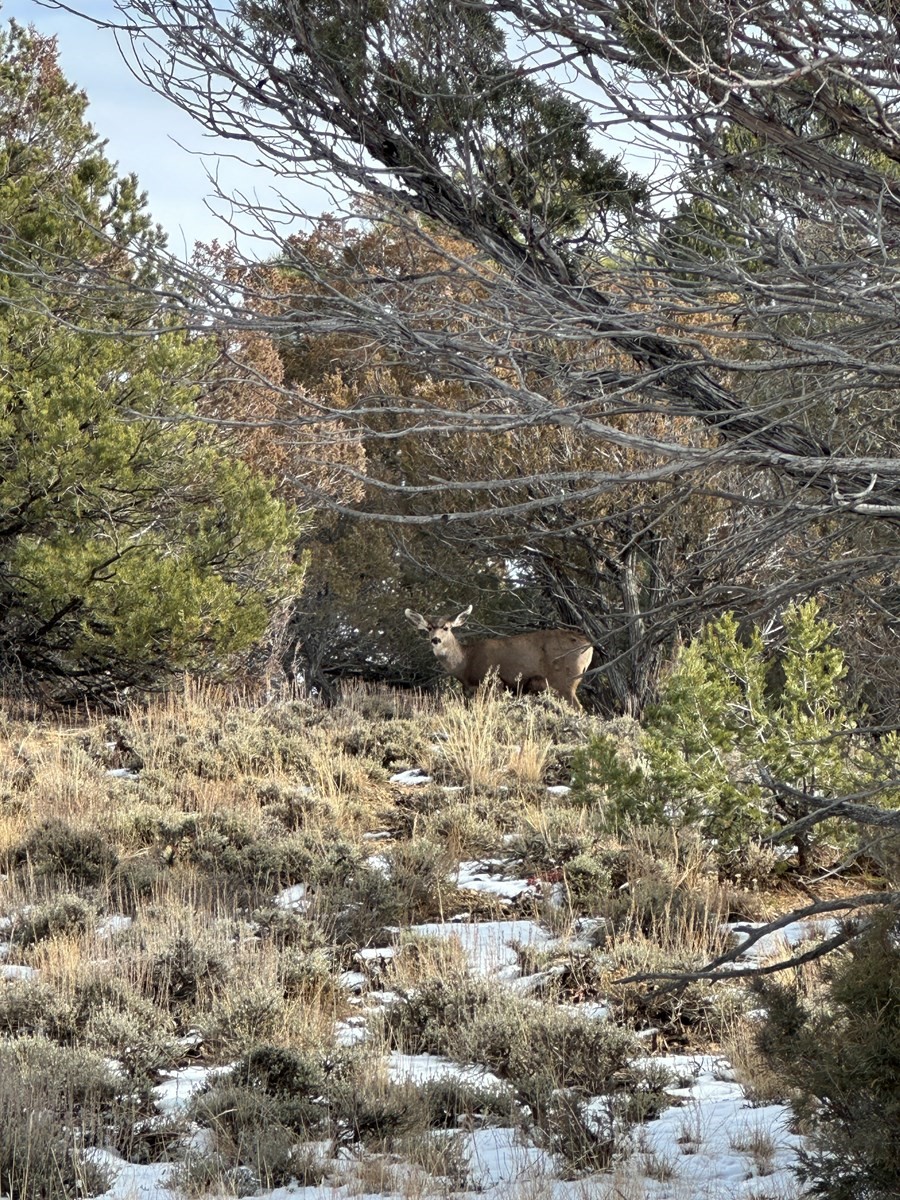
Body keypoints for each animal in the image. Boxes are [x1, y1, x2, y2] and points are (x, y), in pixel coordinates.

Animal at [404, 604, 593, 708]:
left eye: (446, 627)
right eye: (428, 628)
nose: (435, 640)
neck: (466, 662)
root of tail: (589, 645)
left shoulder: (494, 683)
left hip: (566, 680)